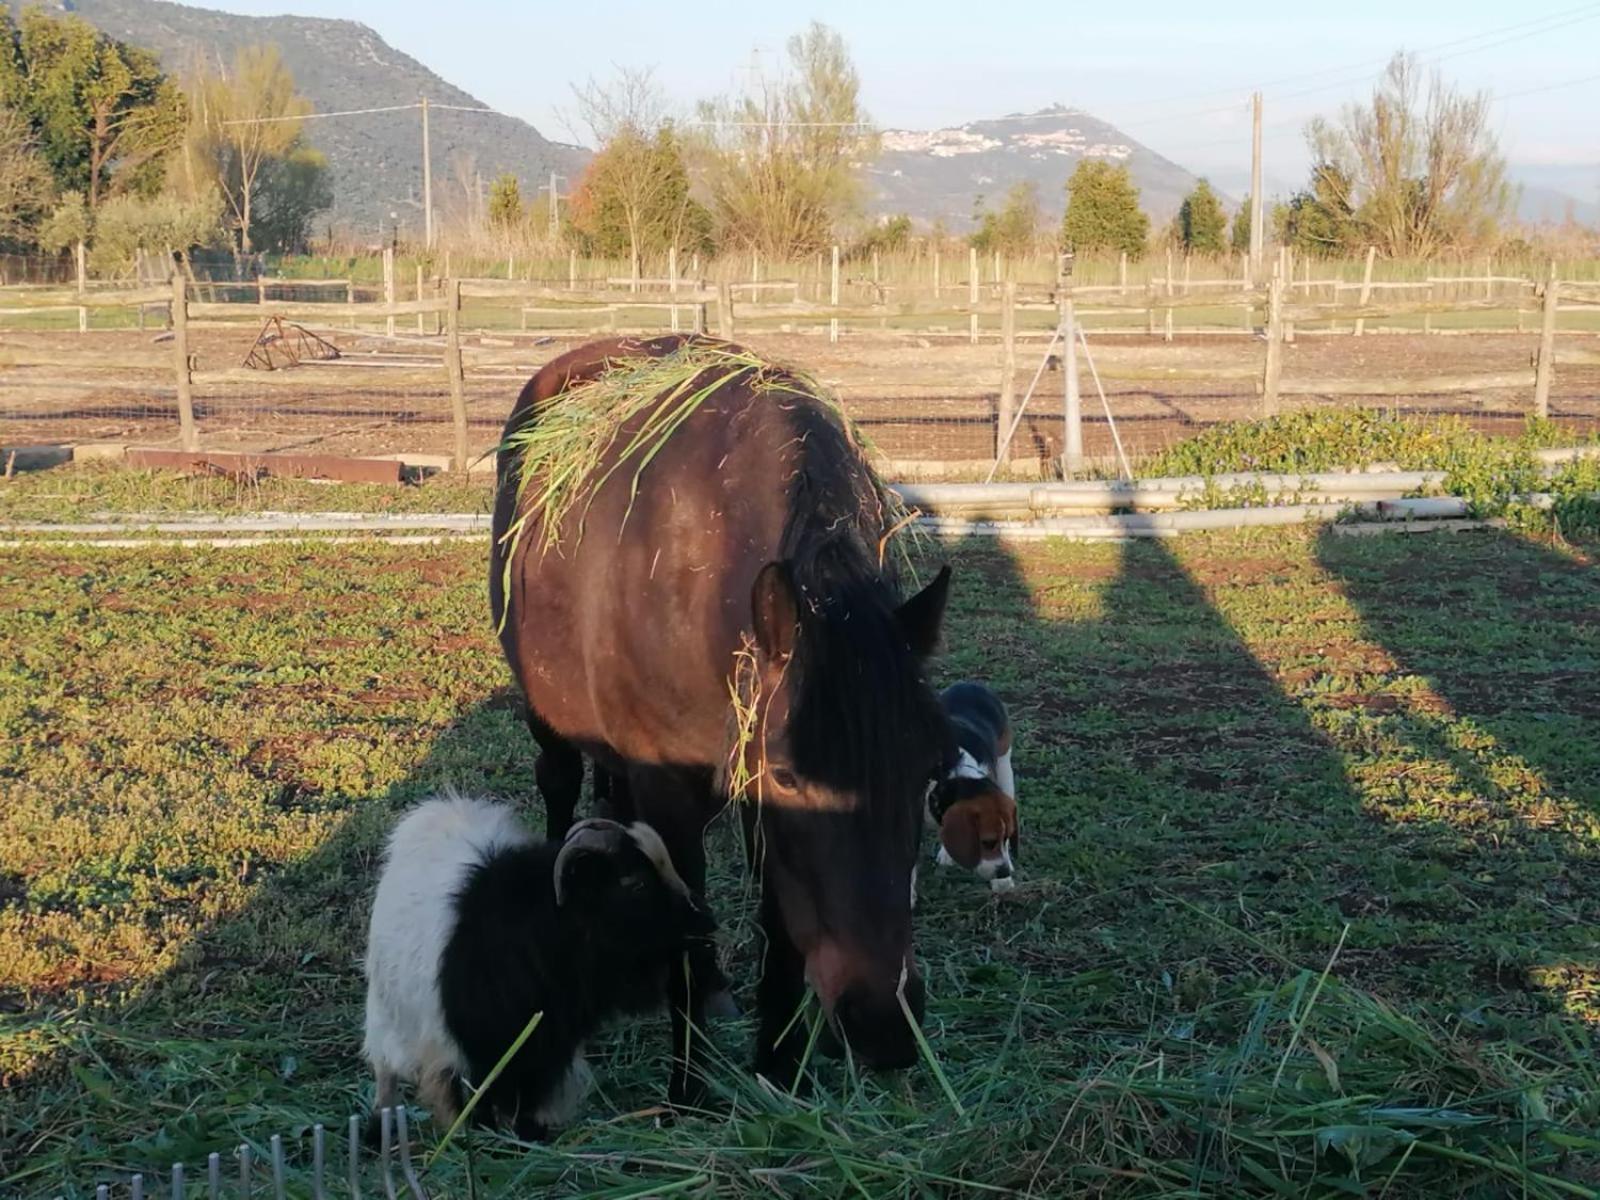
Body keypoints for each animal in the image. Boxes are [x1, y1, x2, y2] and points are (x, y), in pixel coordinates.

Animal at [366, 793, 716, 1139]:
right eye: (636, 884)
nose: (705, 921)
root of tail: (438, 808)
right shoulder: (470, 1055)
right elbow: (479, 1112)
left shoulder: (545, 1050)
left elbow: (528, 1109)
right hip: (385, 1013)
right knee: (384, 1071)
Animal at [489, 334, 947, 1107]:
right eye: (792, 776)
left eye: (928, 773)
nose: (883, 1026)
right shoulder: (683, 794)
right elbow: (689, 939)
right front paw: (687, 1092)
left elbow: (780, 933)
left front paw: (780, 1071)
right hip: (546, 716)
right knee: (558, 785)